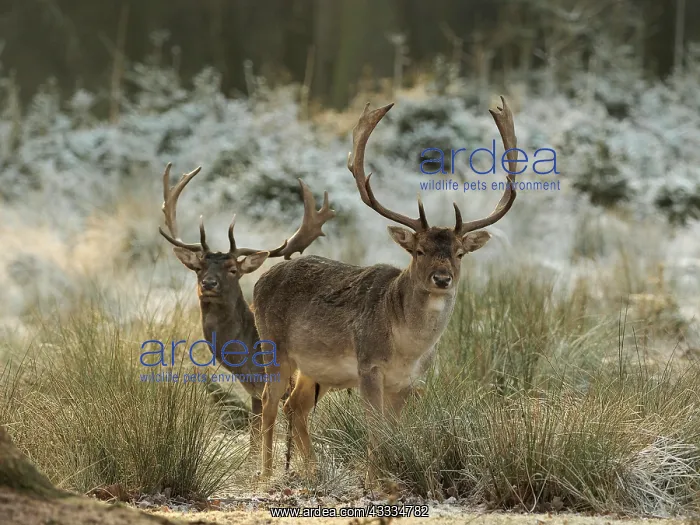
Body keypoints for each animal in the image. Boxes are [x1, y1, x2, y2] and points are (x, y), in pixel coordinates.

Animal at [157, 162, 335, 455]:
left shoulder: (275, 385)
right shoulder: (254, 392)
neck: (249, 359)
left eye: (232, 269)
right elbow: (253, 442)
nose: (208, 283)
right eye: (199, 267)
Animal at [252, 96, 519, 480]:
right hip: (273, 346)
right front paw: (373, 478)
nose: (442, 278)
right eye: (419, 250)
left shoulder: (409, 381)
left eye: (459, 253)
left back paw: (314, 472)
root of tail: (260, 280)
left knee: (295, 406)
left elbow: (394, 432)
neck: (407, 347)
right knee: (268, 402)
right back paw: (265, 474)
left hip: (314, 370)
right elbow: (374, 429)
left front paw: (389, 474)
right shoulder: (368, 366)